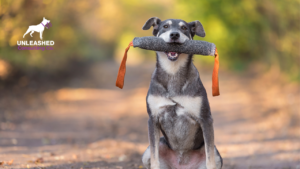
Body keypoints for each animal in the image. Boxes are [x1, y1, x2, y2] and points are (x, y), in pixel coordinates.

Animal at [141, 17, 223, 169]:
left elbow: (210, 159)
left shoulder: (206, 119)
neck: (173, 72)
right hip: (148, 152)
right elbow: (155, 158)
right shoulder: (153, 119)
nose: (174, 34)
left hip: (216, 153)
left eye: (184, 28)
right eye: (165, 26)